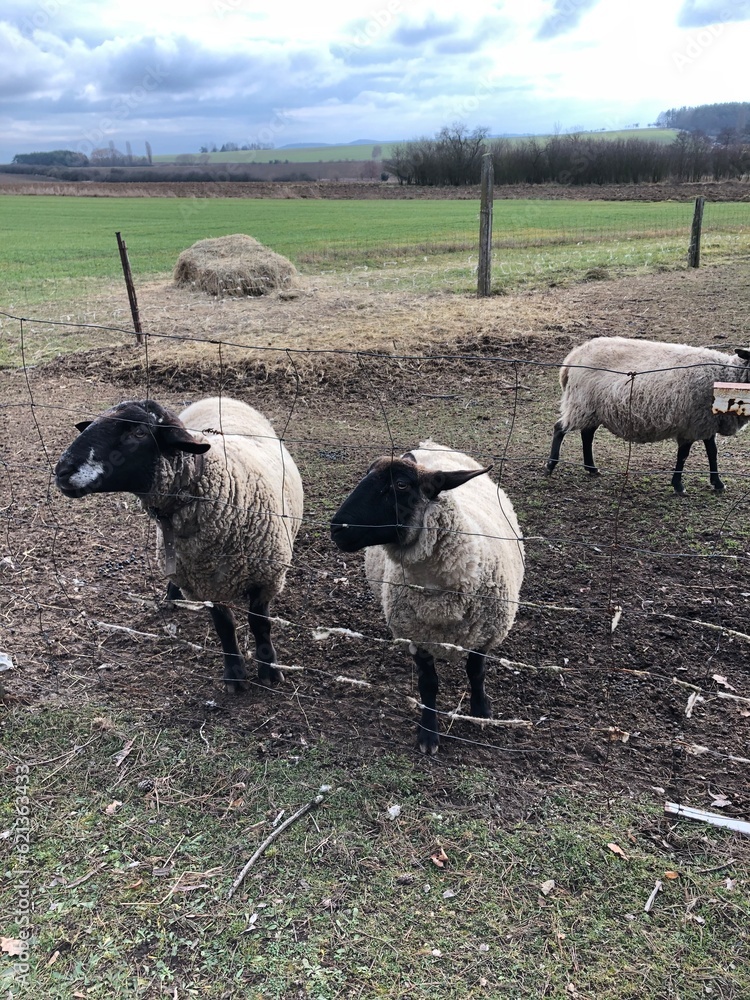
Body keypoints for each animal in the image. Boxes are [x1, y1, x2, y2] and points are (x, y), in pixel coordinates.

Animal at [54, 396, 303, 692]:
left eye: (139, 433)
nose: (62, 471)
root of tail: (220, 398)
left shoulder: (266, 577)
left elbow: (260, 624)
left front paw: (268, 669)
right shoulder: (204, 580)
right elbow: (224, 626)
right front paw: (234, 674)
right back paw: (171, 596)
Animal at [330, 441, 525, 754]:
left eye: (401, 485)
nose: (337, 528)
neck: (441, 601)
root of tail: (430, 444)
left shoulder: (486, 633)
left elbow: (476, 672)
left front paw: (481, 710)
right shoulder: (417, 636)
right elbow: (428, 684)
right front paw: (428, 733)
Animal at [546, 336, 750, 493]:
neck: (724, 375)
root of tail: (572, 358)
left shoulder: (706, 423)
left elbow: (712, 453)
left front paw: (718, 483)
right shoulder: (692, 424)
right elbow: (684, 455)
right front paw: (678, 485)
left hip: (593, 409)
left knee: (587, 435)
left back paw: (592, 468)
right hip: (581, 403)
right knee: (560, 428)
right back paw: (550, 465)